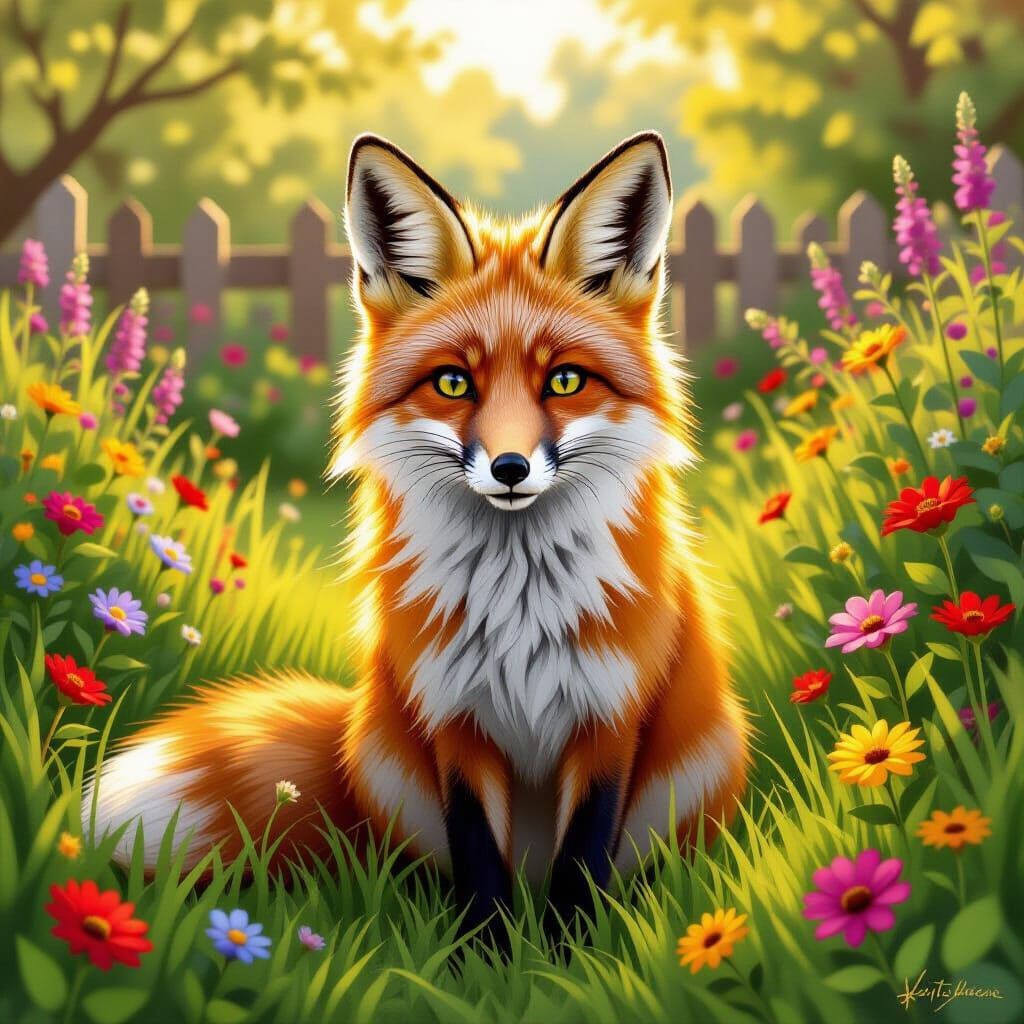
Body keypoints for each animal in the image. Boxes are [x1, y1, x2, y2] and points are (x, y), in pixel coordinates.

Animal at [85, 130, 749, 944]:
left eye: (564, 381)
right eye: (453, 384)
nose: (509, 467)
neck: (518, 607)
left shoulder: (610, 721)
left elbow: (580, 868)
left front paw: (566, 955)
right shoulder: (453, 721)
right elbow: (478, 863)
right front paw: (487, 957)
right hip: (386, 764)